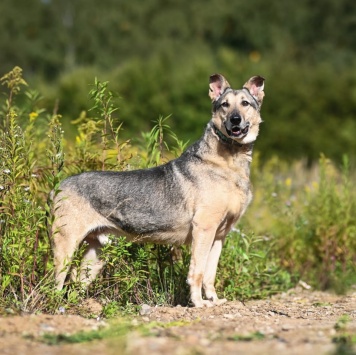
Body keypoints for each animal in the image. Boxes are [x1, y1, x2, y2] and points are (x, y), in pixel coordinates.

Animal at [51, 74, 266, 308]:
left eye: (245, 103)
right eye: (224, 105)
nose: (235, 120)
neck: (230, 159)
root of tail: (57, 187)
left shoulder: (219, 235)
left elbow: (210, 274)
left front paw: (214, 300)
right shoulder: (204, 229)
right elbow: (197, 272)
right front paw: (198, 303)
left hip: (95, 253)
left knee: (75, 285)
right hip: (65, 246)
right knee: (53, 283)